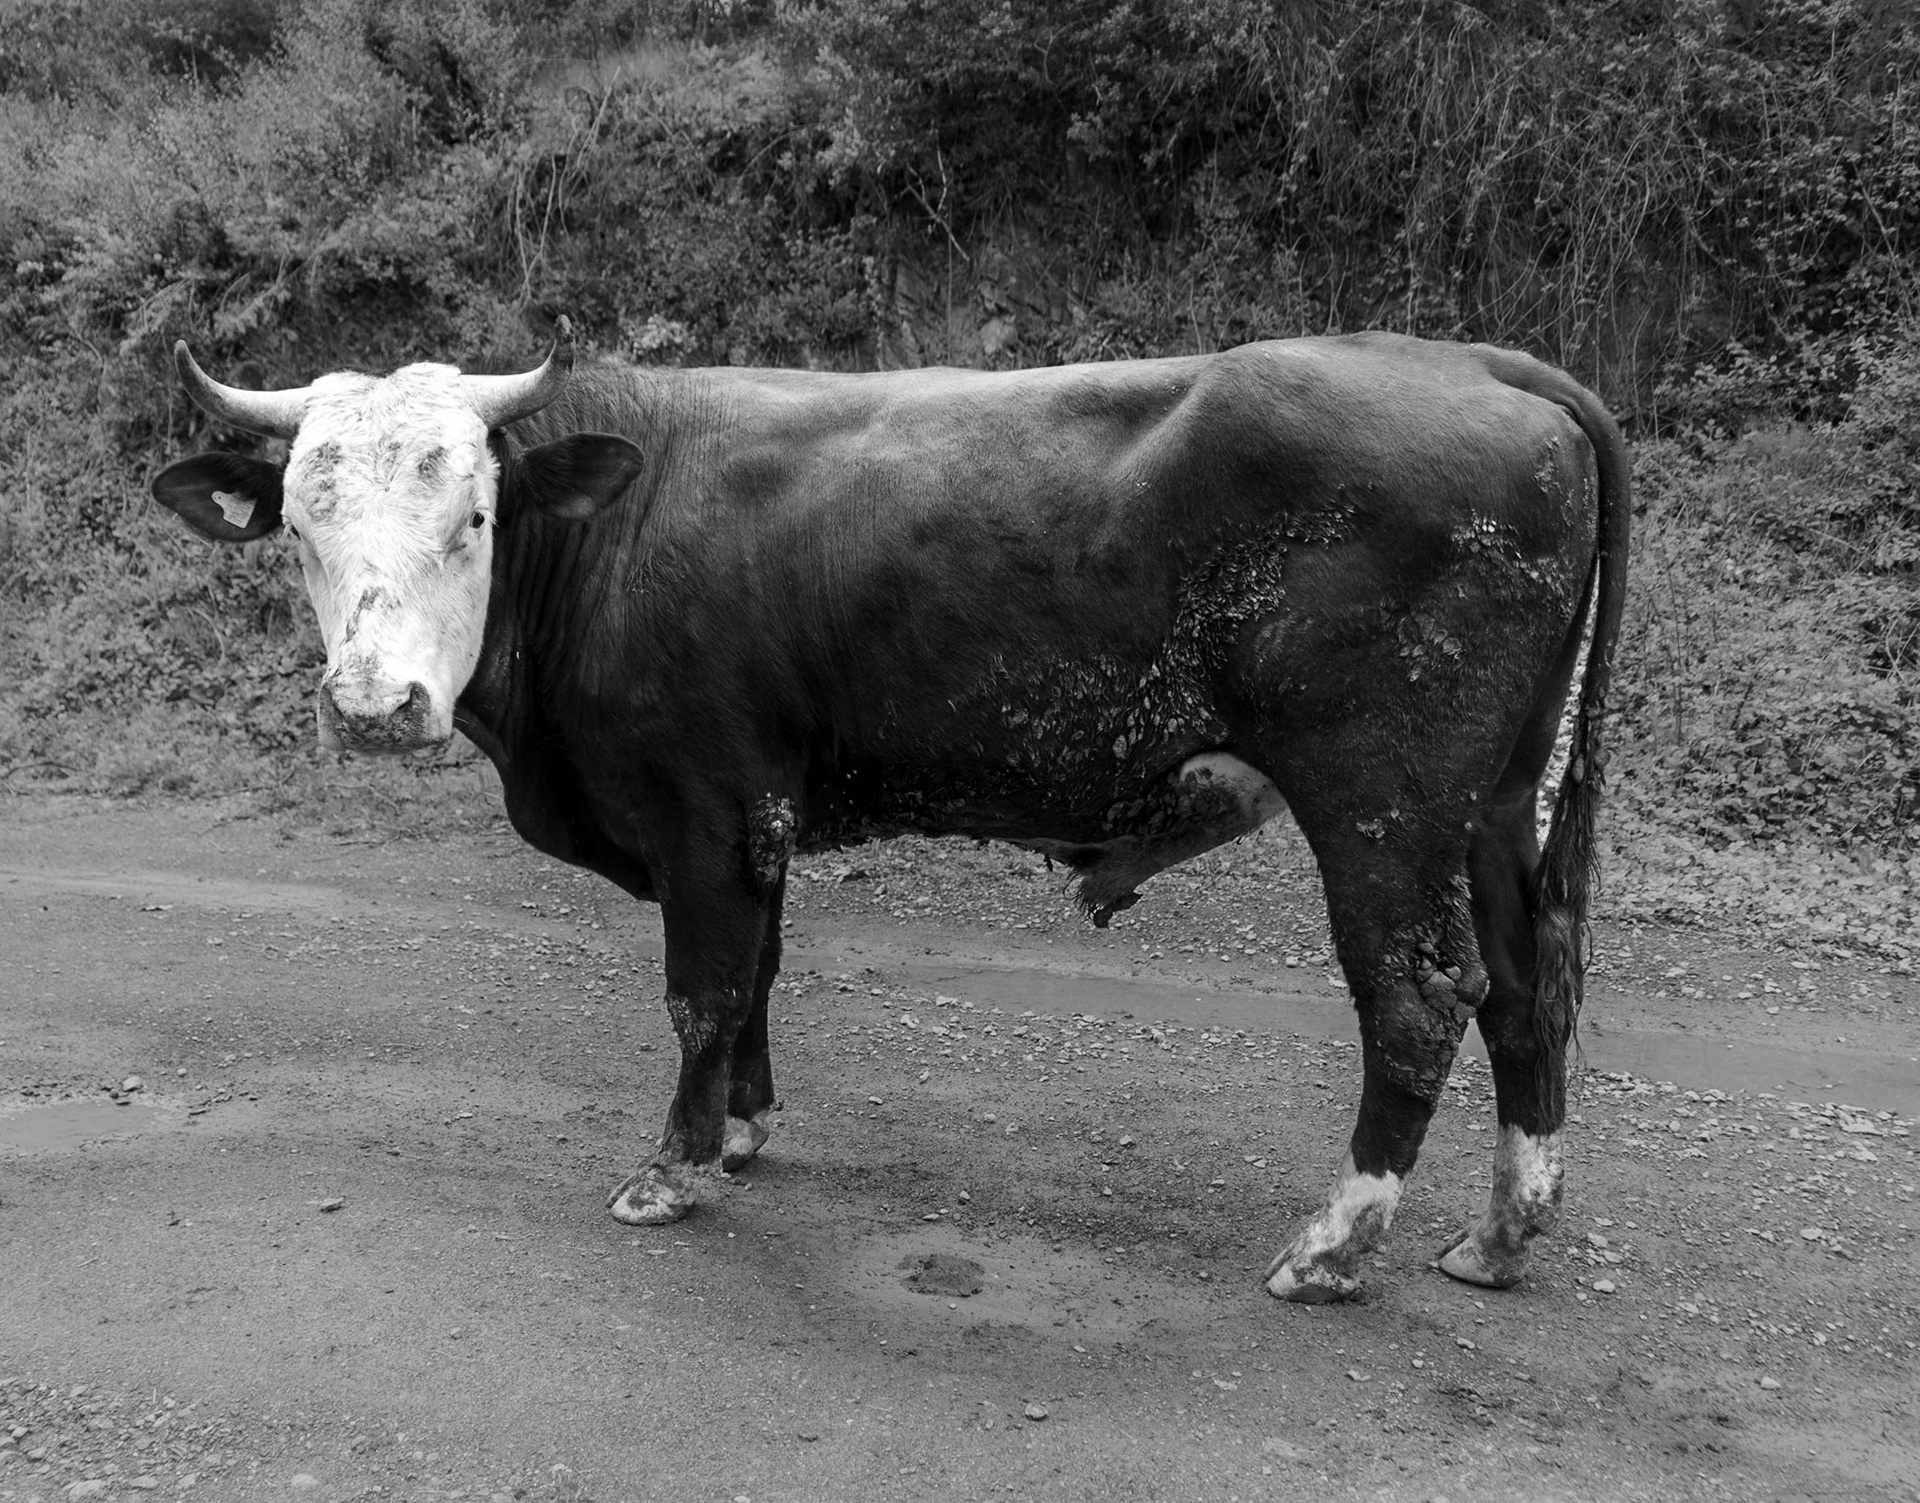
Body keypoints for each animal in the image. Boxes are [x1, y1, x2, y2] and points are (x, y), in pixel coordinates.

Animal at [150, 322, 1628, 1303]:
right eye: (298, 529)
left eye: (473, 515)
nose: (372, 704)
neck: (617, 528)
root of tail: (1479, 363)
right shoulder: (760, 815)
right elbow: (755, 974)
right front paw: (742, 1128)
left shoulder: (705, 807)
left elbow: (701, 987)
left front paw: (671, 1168)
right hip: (1491, 804)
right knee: (1523, 985)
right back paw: (1502, 1231)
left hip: (1381, 801)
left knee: (1420, 993)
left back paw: (1335, 1244)